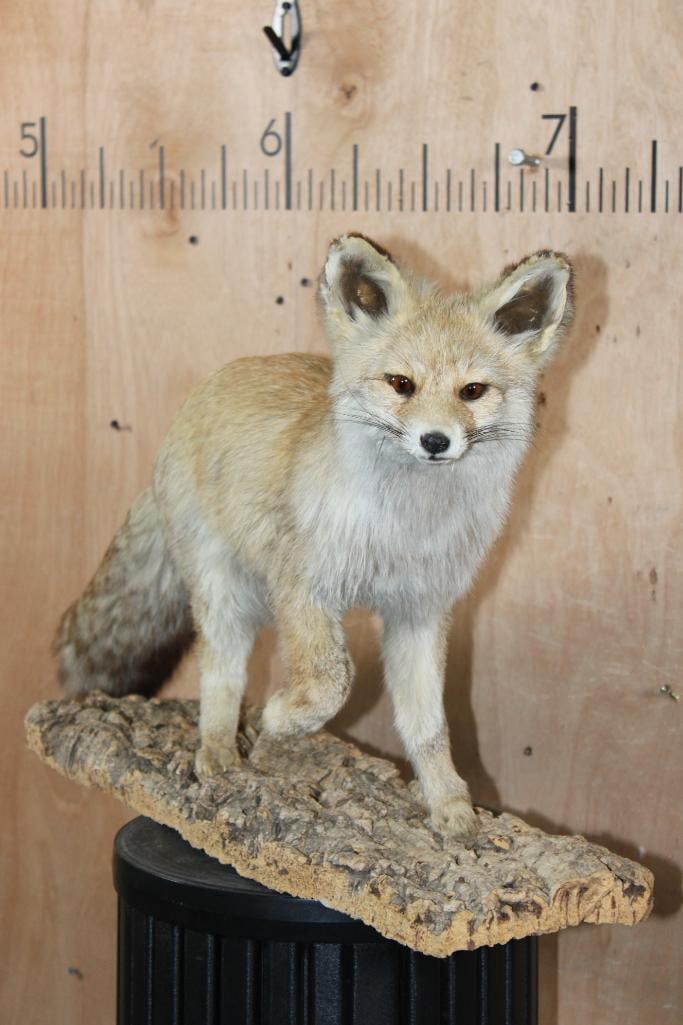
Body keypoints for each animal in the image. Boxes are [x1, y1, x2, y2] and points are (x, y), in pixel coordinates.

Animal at [55, 233, 574, 841]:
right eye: (402, 384)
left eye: (472, 391)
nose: (435, 441)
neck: (402, 529)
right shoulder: (302, 588)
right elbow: (331, 682)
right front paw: (279, 720)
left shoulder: (420, 611)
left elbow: (428, 725)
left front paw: (449, 805)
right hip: (224, 595)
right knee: (219, 674)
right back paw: (218, 752)